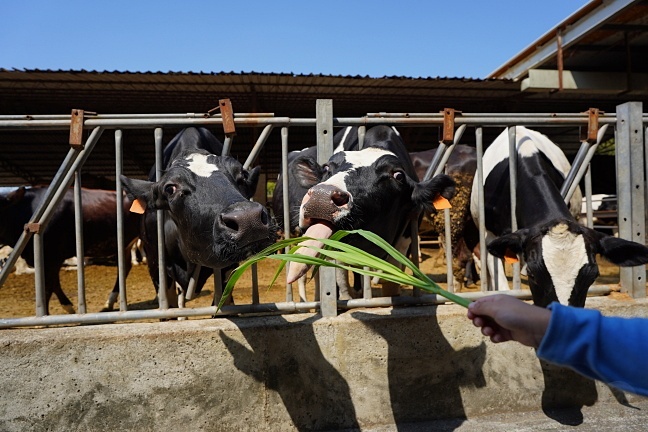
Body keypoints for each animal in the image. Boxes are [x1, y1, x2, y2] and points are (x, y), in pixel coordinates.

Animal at [0, 186, 141, 314]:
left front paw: (45, 316)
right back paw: (109, 302)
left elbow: (48, 286)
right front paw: (67, 306)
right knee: (125, 266)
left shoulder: (54, 256)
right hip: (125, 244)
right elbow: (54, 283)